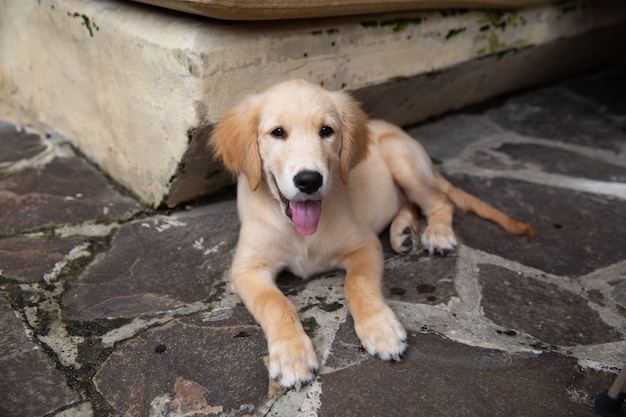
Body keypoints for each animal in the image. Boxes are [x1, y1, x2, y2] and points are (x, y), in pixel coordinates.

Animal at [208, 79, 528, 388]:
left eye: (326, 131)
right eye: (277, 133)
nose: (309, 181)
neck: (299, 231)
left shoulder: (364, 245)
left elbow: (357, 283)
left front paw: (380, 328)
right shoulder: (247, 269)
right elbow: (275, 303)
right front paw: (292, 355)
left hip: (402, 159)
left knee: (439, 201)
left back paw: (436, 232)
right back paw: (404, 231)